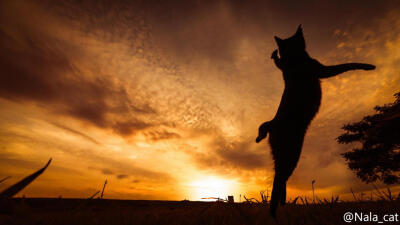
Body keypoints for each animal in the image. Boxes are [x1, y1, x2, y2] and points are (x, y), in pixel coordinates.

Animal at [256, 25, 376, 217]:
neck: (295, 57)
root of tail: (273, 124)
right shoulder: (322, 70)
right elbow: (346, 65)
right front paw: (368, 66)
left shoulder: (286, 67)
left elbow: (278, 64)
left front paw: (274, 56)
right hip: (291, 153)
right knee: (278, 180)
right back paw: (275, 213)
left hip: (281, 153)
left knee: (280, 178)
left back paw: (283, 204)